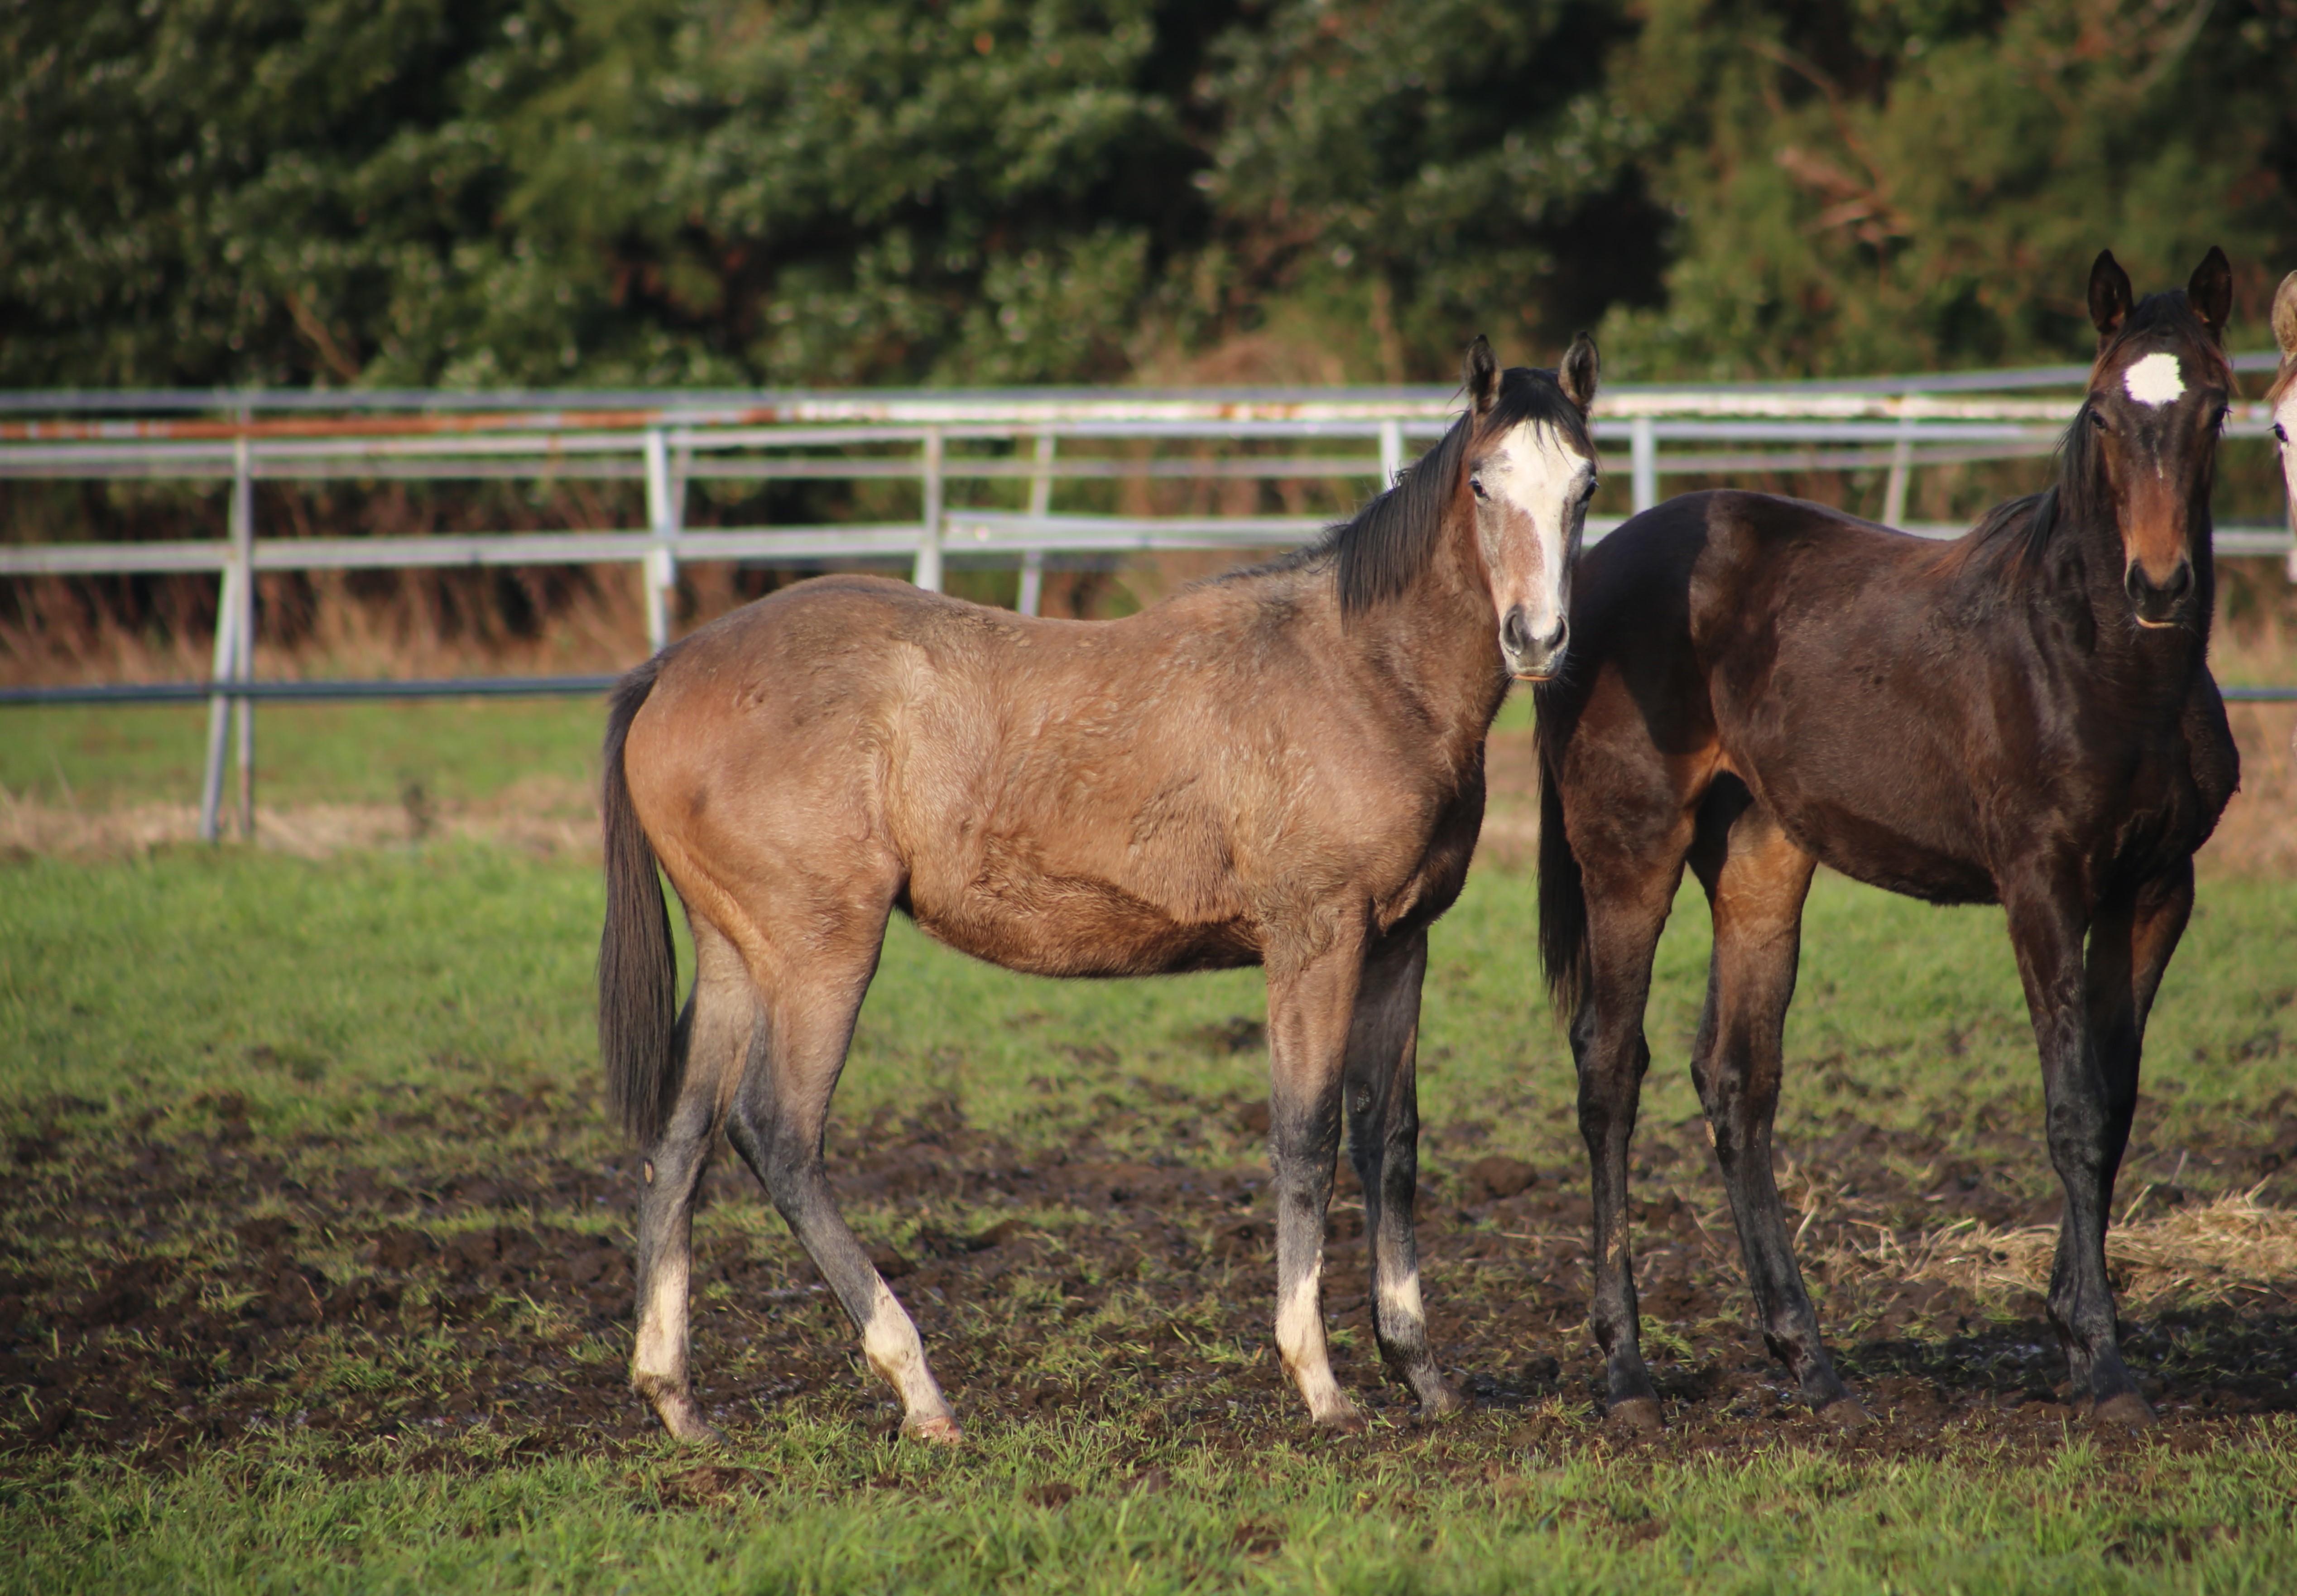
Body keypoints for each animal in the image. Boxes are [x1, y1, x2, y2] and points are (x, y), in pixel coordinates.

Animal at [597, 340, 1599, 1451]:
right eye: (1483, 485)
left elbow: (1392, 1146)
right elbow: (1306, 1139)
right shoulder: (1316, 939)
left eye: (1585, 487)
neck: (1363, 675)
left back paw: (677, 1398)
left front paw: (1423, 1375)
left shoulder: (1397, 944)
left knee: (680, 1139)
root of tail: (669, 666)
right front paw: (1320, 1383)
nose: (1538, 637)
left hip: (737, 955)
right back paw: (918, 1387)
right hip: (821, 951)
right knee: (778, 1136)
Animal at [1534, 252, 2232, 1433]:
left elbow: (2115, 1099)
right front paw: (2098, 1363)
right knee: (1608, 1069)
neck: (2095, 662)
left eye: (2218, 407)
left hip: (1761, 856)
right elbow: (2070, 1106)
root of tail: (1584, 583)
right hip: (1628, 850)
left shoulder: (2153, 889)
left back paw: (1809, 1362)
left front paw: (2069, 1323)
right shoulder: (2041, 884)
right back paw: (1625, 1372)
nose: (2159, 583)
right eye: (2099, 411)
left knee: (1737, 1079)